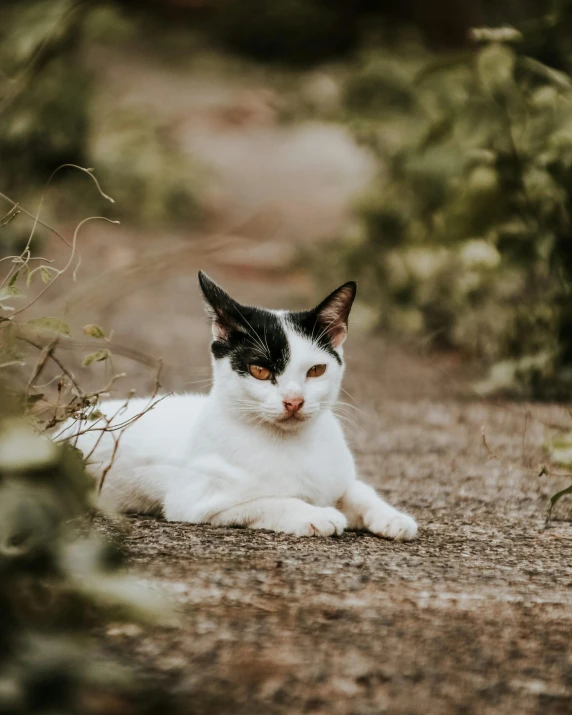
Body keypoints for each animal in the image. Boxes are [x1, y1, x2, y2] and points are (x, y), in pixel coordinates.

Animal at [72, 274, 420, 544]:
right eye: (260, 371)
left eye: (316, 371)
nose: (294, 401)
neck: (293, 445)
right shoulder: (195, 502)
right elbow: (270, 501)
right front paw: (316, 514)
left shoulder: (339, 477)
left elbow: (360, 491)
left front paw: (393, 517)